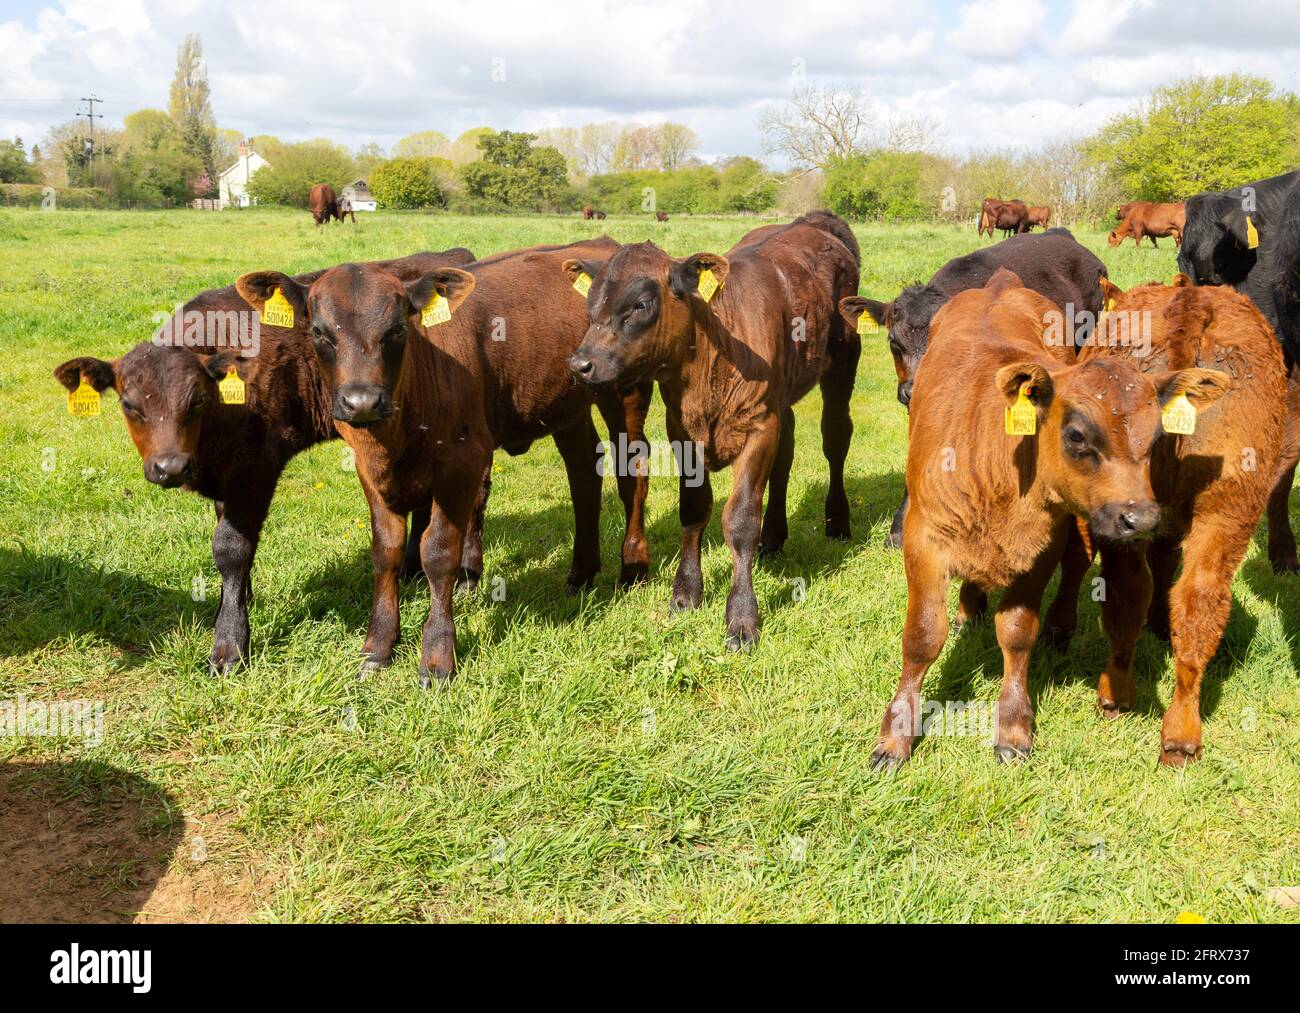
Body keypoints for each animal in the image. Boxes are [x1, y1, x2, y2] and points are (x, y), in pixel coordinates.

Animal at [54, 247, 478, 670]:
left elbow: (231, 547)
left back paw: (467, 575)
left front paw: (229, 644)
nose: (170, 467)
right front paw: (236, 602)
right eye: (128, 404)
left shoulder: (255, 467)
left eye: (196, 400)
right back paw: (411, 569)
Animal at [235, 235, 655, 691]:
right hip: (567, 406)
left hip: (625, 390)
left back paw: (633, 567)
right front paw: (378, 647)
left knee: (631, 470)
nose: (362, 401)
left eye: (397, 330)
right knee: (583, 472)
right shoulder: (369, 469)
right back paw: (581, 573)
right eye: (318, 332)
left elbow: (437, 552)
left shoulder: (461, 463)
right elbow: (386, 551)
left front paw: (437, 657)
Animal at [873, 269, 1227, 769]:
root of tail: (1000, 284)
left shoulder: (1043, 545)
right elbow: (922, 636)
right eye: (1076, 434)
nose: (1140, 519)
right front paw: (896, 734)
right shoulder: (922, 539)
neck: (997, 464)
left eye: (1158, 435)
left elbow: (1018, 631)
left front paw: (1013, 727)